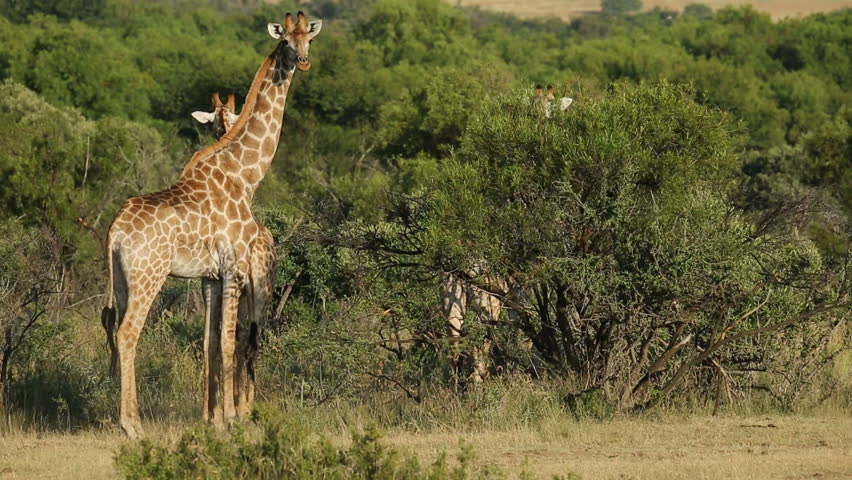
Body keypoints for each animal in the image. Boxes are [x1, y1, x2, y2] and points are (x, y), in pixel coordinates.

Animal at [191, 91, 274, 420]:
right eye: (213, 122)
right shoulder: (214, 282)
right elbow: (215, 339)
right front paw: (214, 410)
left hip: (260, 291)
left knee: (250, 341)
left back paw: (244, 406)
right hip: (253, 292)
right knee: (247, 341)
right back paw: (240, 405)